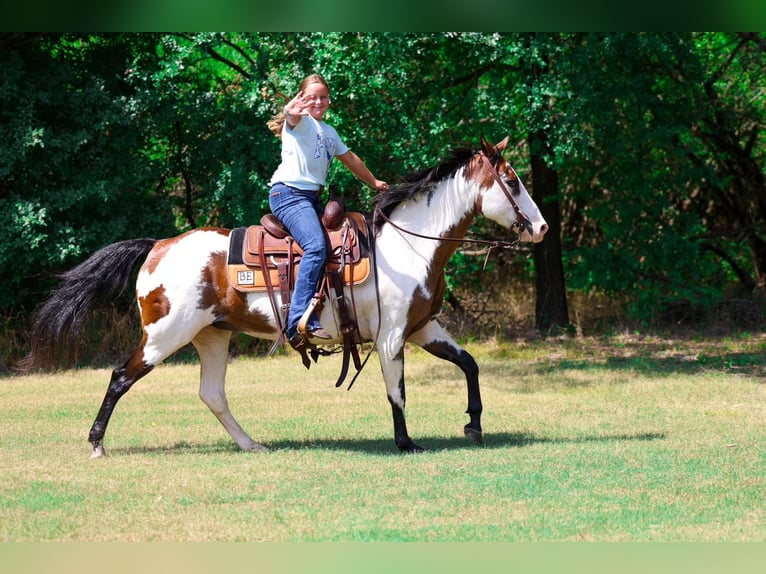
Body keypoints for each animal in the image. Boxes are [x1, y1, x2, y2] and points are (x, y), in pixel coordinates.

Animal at [21, 136, 548, 457]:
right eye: (514, 181)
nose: (541, 227)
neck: (407, 244)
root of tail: (158, 246)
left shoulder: (423, 327)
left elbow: (469, 364)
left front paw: (474, 424)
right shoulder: (393, 335)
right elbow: (396, 390)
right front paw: (406, 443)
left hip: (212, 336)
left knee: (212, 394)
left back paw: (250, 444)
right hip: (165, 335)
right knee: (119, 377)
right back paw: (96, 443)